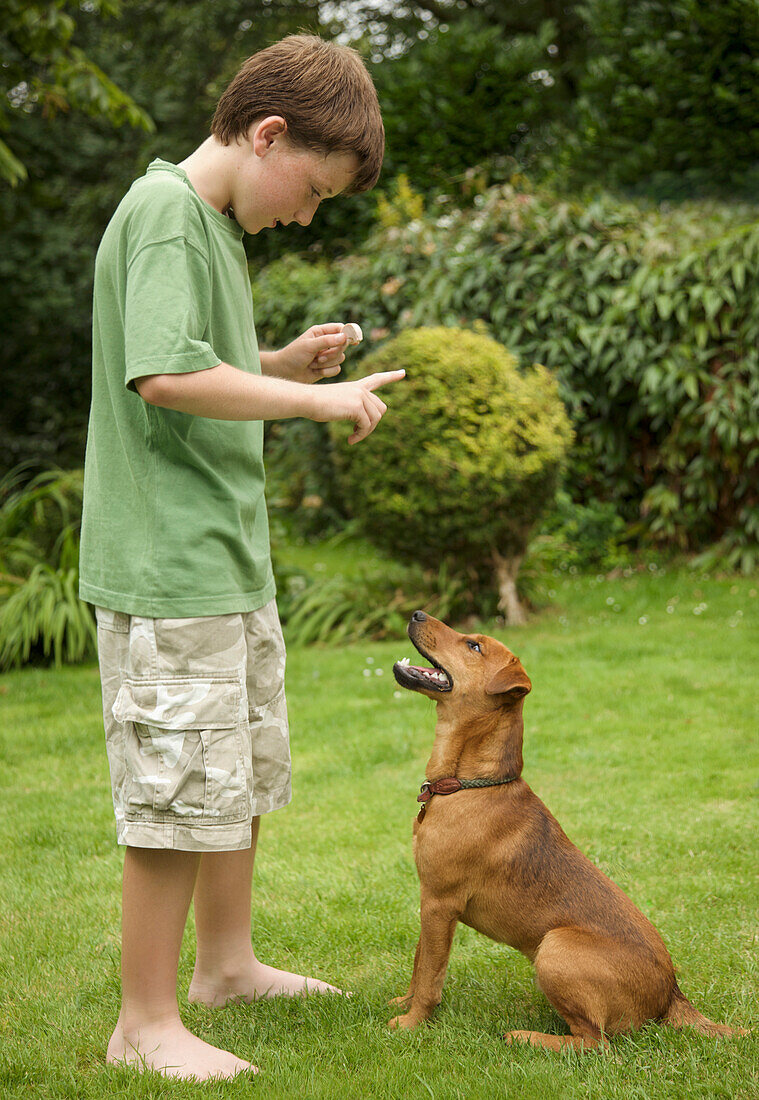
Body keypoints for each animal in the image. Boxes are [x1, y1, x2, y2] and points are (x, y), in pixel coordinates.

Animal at [387, 611, 743, 1047]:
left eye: (474, 645)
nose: (417, 614)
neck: (468, 785)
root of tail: (673, 994)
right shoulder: (428, 899)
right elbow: (419, 963)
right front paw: (403, 1004)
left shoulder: (440, 903)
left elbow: (430, 976)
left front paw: (411, 1024)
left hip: (554, 947)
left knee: (595, 1043)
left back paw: (525, 1037)